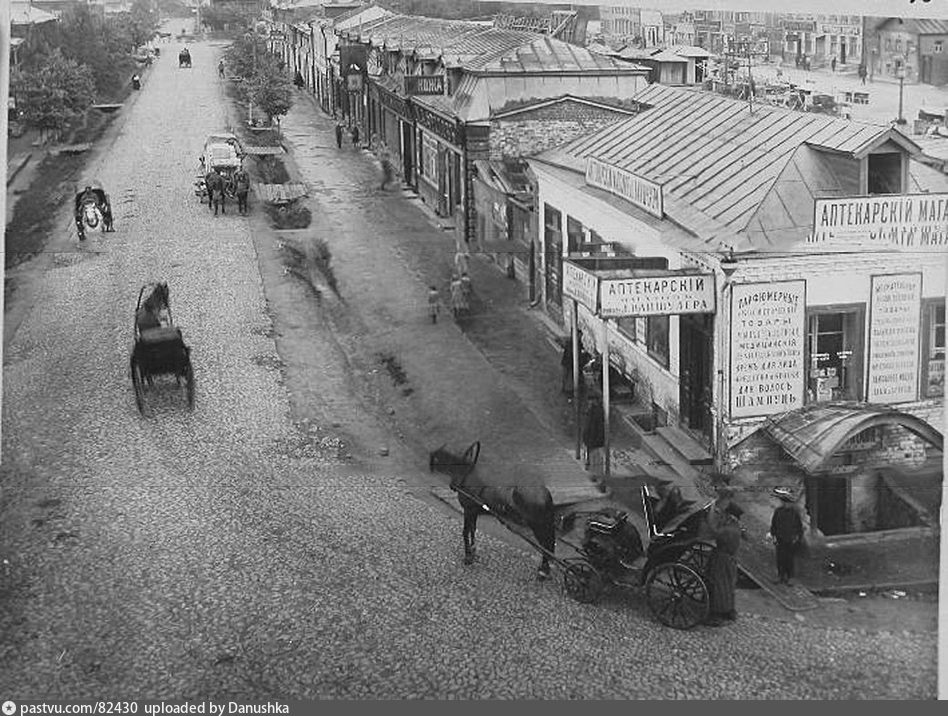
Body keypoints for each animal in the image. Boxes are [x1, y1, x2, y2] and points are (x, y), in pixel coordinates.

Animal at [428, 440, 556, 580]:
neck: (466, 475)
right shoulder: (474, 511)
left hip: (538, 526)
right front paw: (473, 550)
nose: (430, 467)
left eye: (436, 457)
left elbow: (465, 531)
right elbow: (473, 529)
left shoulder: (468, 510)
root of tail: (545, 495)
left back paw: (543, 571)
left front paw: (468, 556)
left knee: (546, 546)